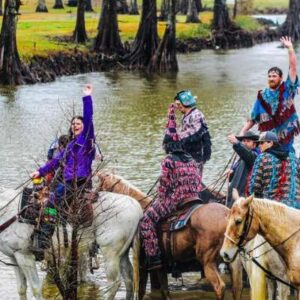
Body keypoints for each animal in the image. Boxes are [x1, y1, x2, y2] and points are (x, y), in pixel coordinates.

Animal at [97, 171, 243, 300]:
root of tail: (227, 216)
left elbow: (142, 291)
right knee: (236, 288)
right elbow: (165, 291)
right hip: (232, 262)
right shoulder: (161, 266)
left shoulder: (144, 267)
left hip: (208, 262)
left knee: (219, 287)